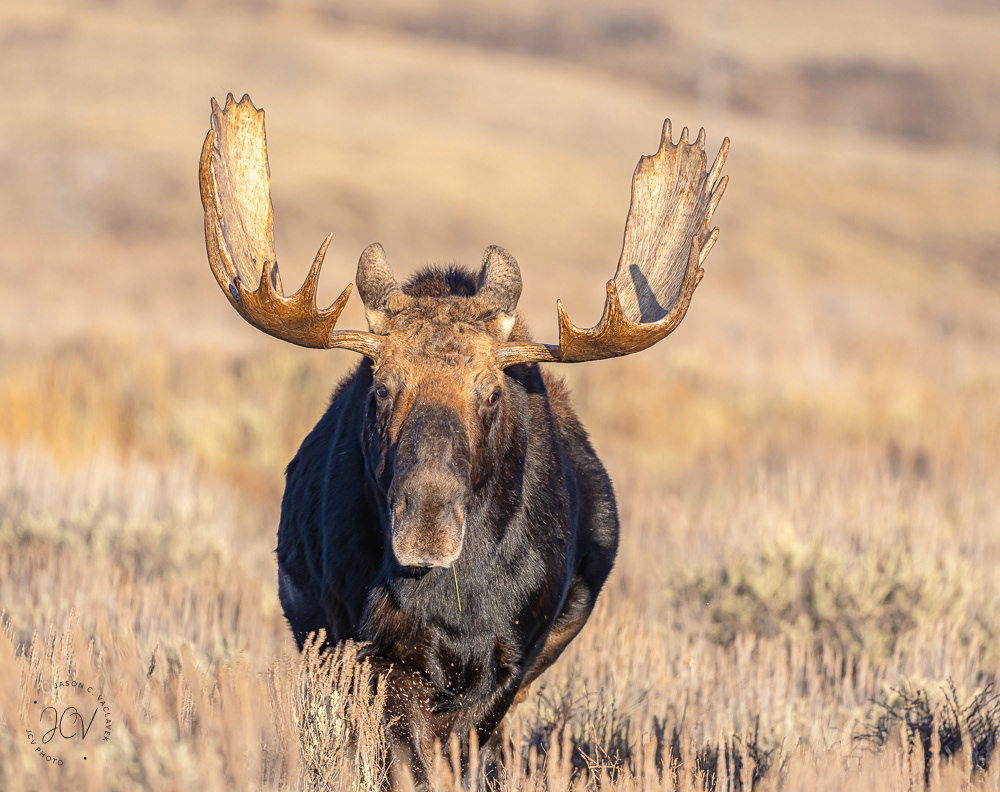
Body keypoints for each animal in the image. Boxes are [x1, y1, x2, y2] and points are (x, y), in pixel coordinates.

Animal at [199, 93, 728, 787]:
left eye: (491, 392)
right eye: (382, 387)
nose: (426, 526)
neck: (455, 596)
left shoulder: (509, 660)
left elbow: (467, 745)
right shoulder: (373, 651)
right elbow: (404, 753)